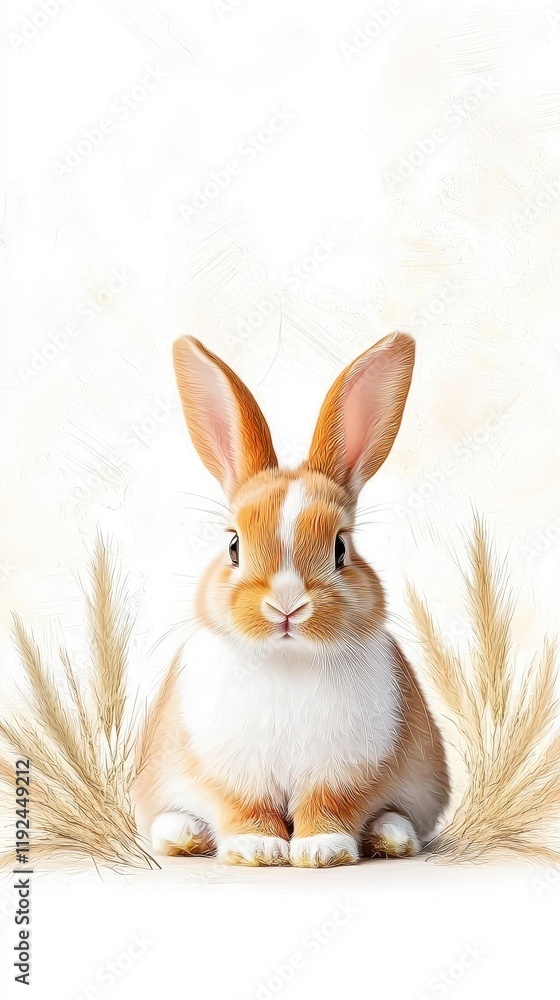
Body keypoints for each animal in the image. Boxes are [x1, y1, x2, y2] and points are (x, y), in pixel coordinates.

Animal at [134, 332, 449, 867]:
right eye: (234, 546)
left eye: (340, 548)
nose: (286, 605)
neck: (287, 659)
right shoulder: (232, 775)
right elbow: (245, 808)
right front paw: (257, 849)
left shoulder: (344, 773)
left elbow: (329, 806)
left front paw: (322, 851)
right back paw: (183, 837)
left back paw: (391, 837)